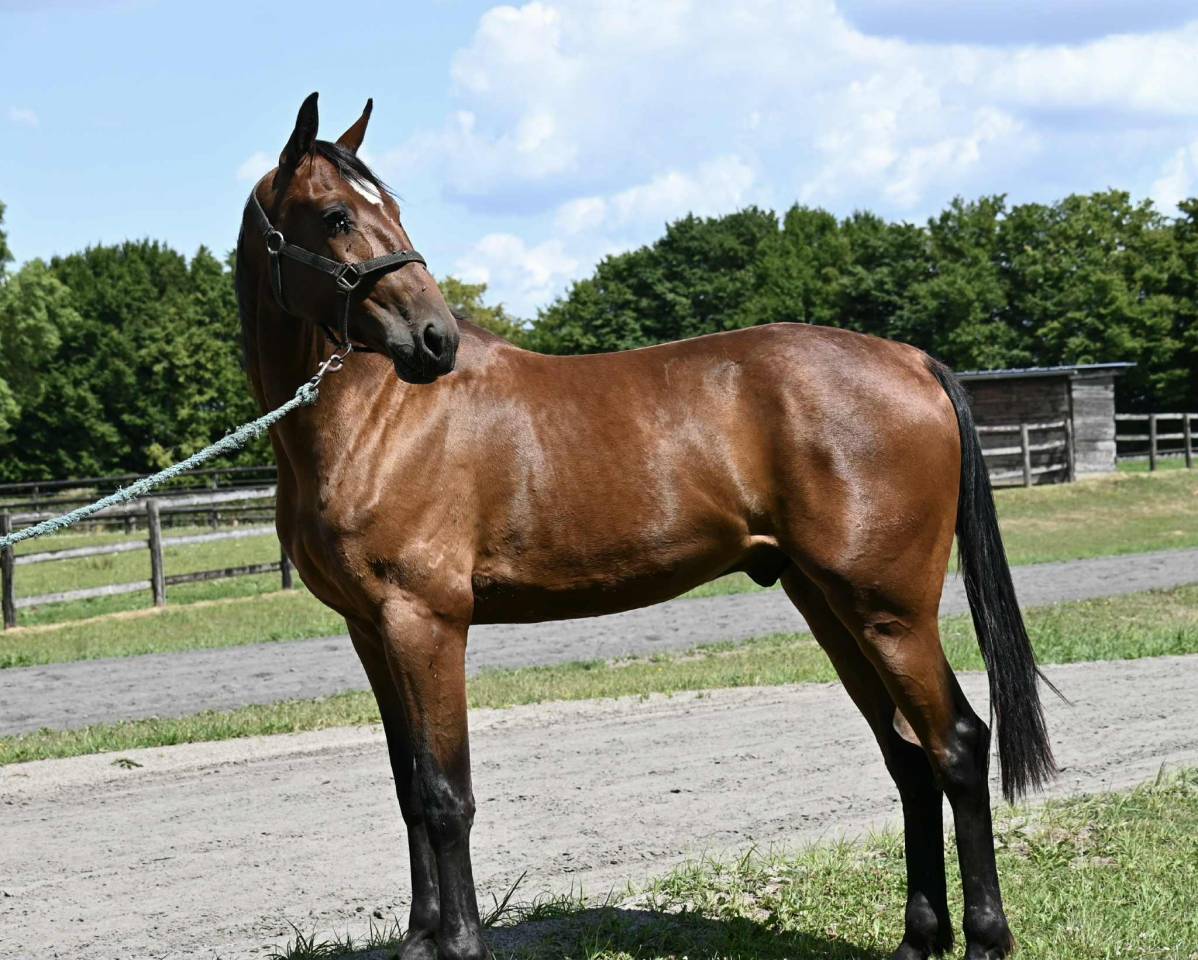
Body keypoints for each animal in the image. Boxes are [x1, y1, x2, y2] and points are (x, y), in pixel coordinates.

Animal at [236, 93, 1054, 960]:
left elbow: (445, 793)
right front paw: (423, 940)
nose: (435, 339)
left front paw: (456, 944)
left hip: (889, 611)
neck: (378, 417)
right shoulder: (373, 629)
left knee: (956, 746)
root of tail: (910, 360)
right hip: (830, 606)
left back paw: (986, 938)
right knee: (907, 757)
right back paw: (917, 938)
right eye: (336, 217)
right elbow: (408, 790)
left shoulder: (426, 622)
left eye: (389, 210)